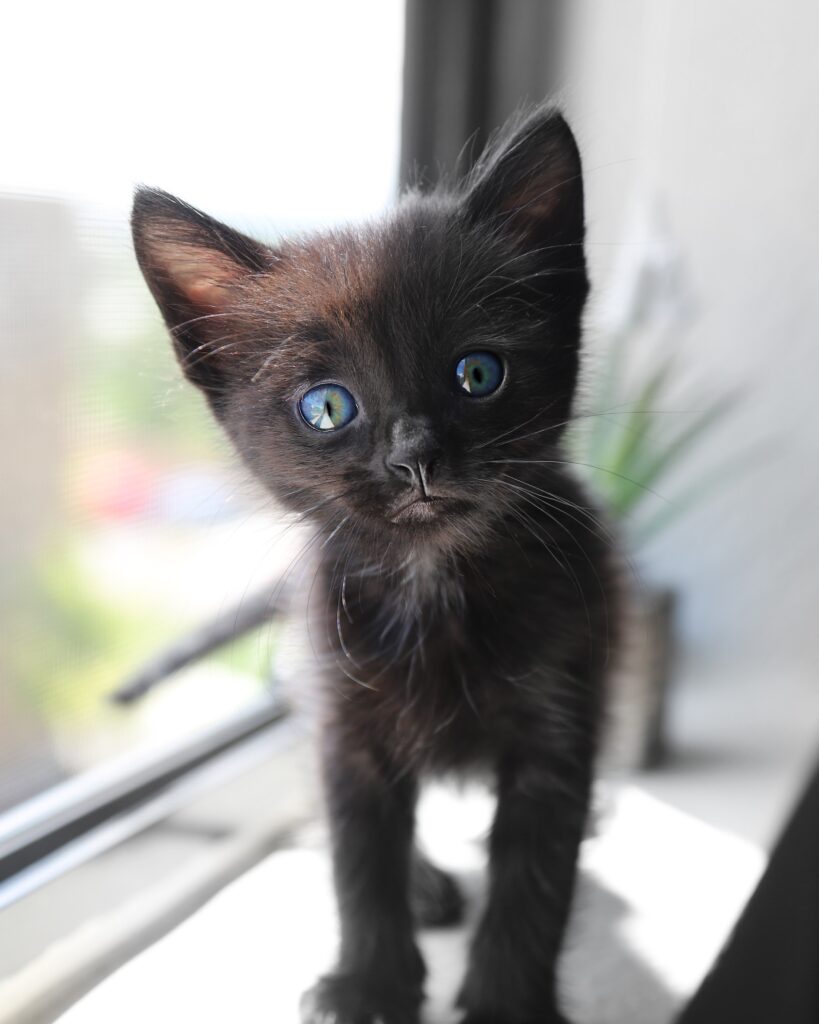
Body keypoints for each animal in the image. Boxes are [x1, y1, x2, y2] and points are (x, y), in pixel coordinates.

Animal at [133, 101, 622, 1024]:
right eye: (327, 406)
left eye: (477, 373)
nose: (414, 457)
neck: (433, 582)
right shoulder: (344, 723)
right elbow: (359, 859)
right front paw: (368, 984)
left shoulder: (558, 719)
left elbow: (534, 882)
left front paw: (507, 1000)